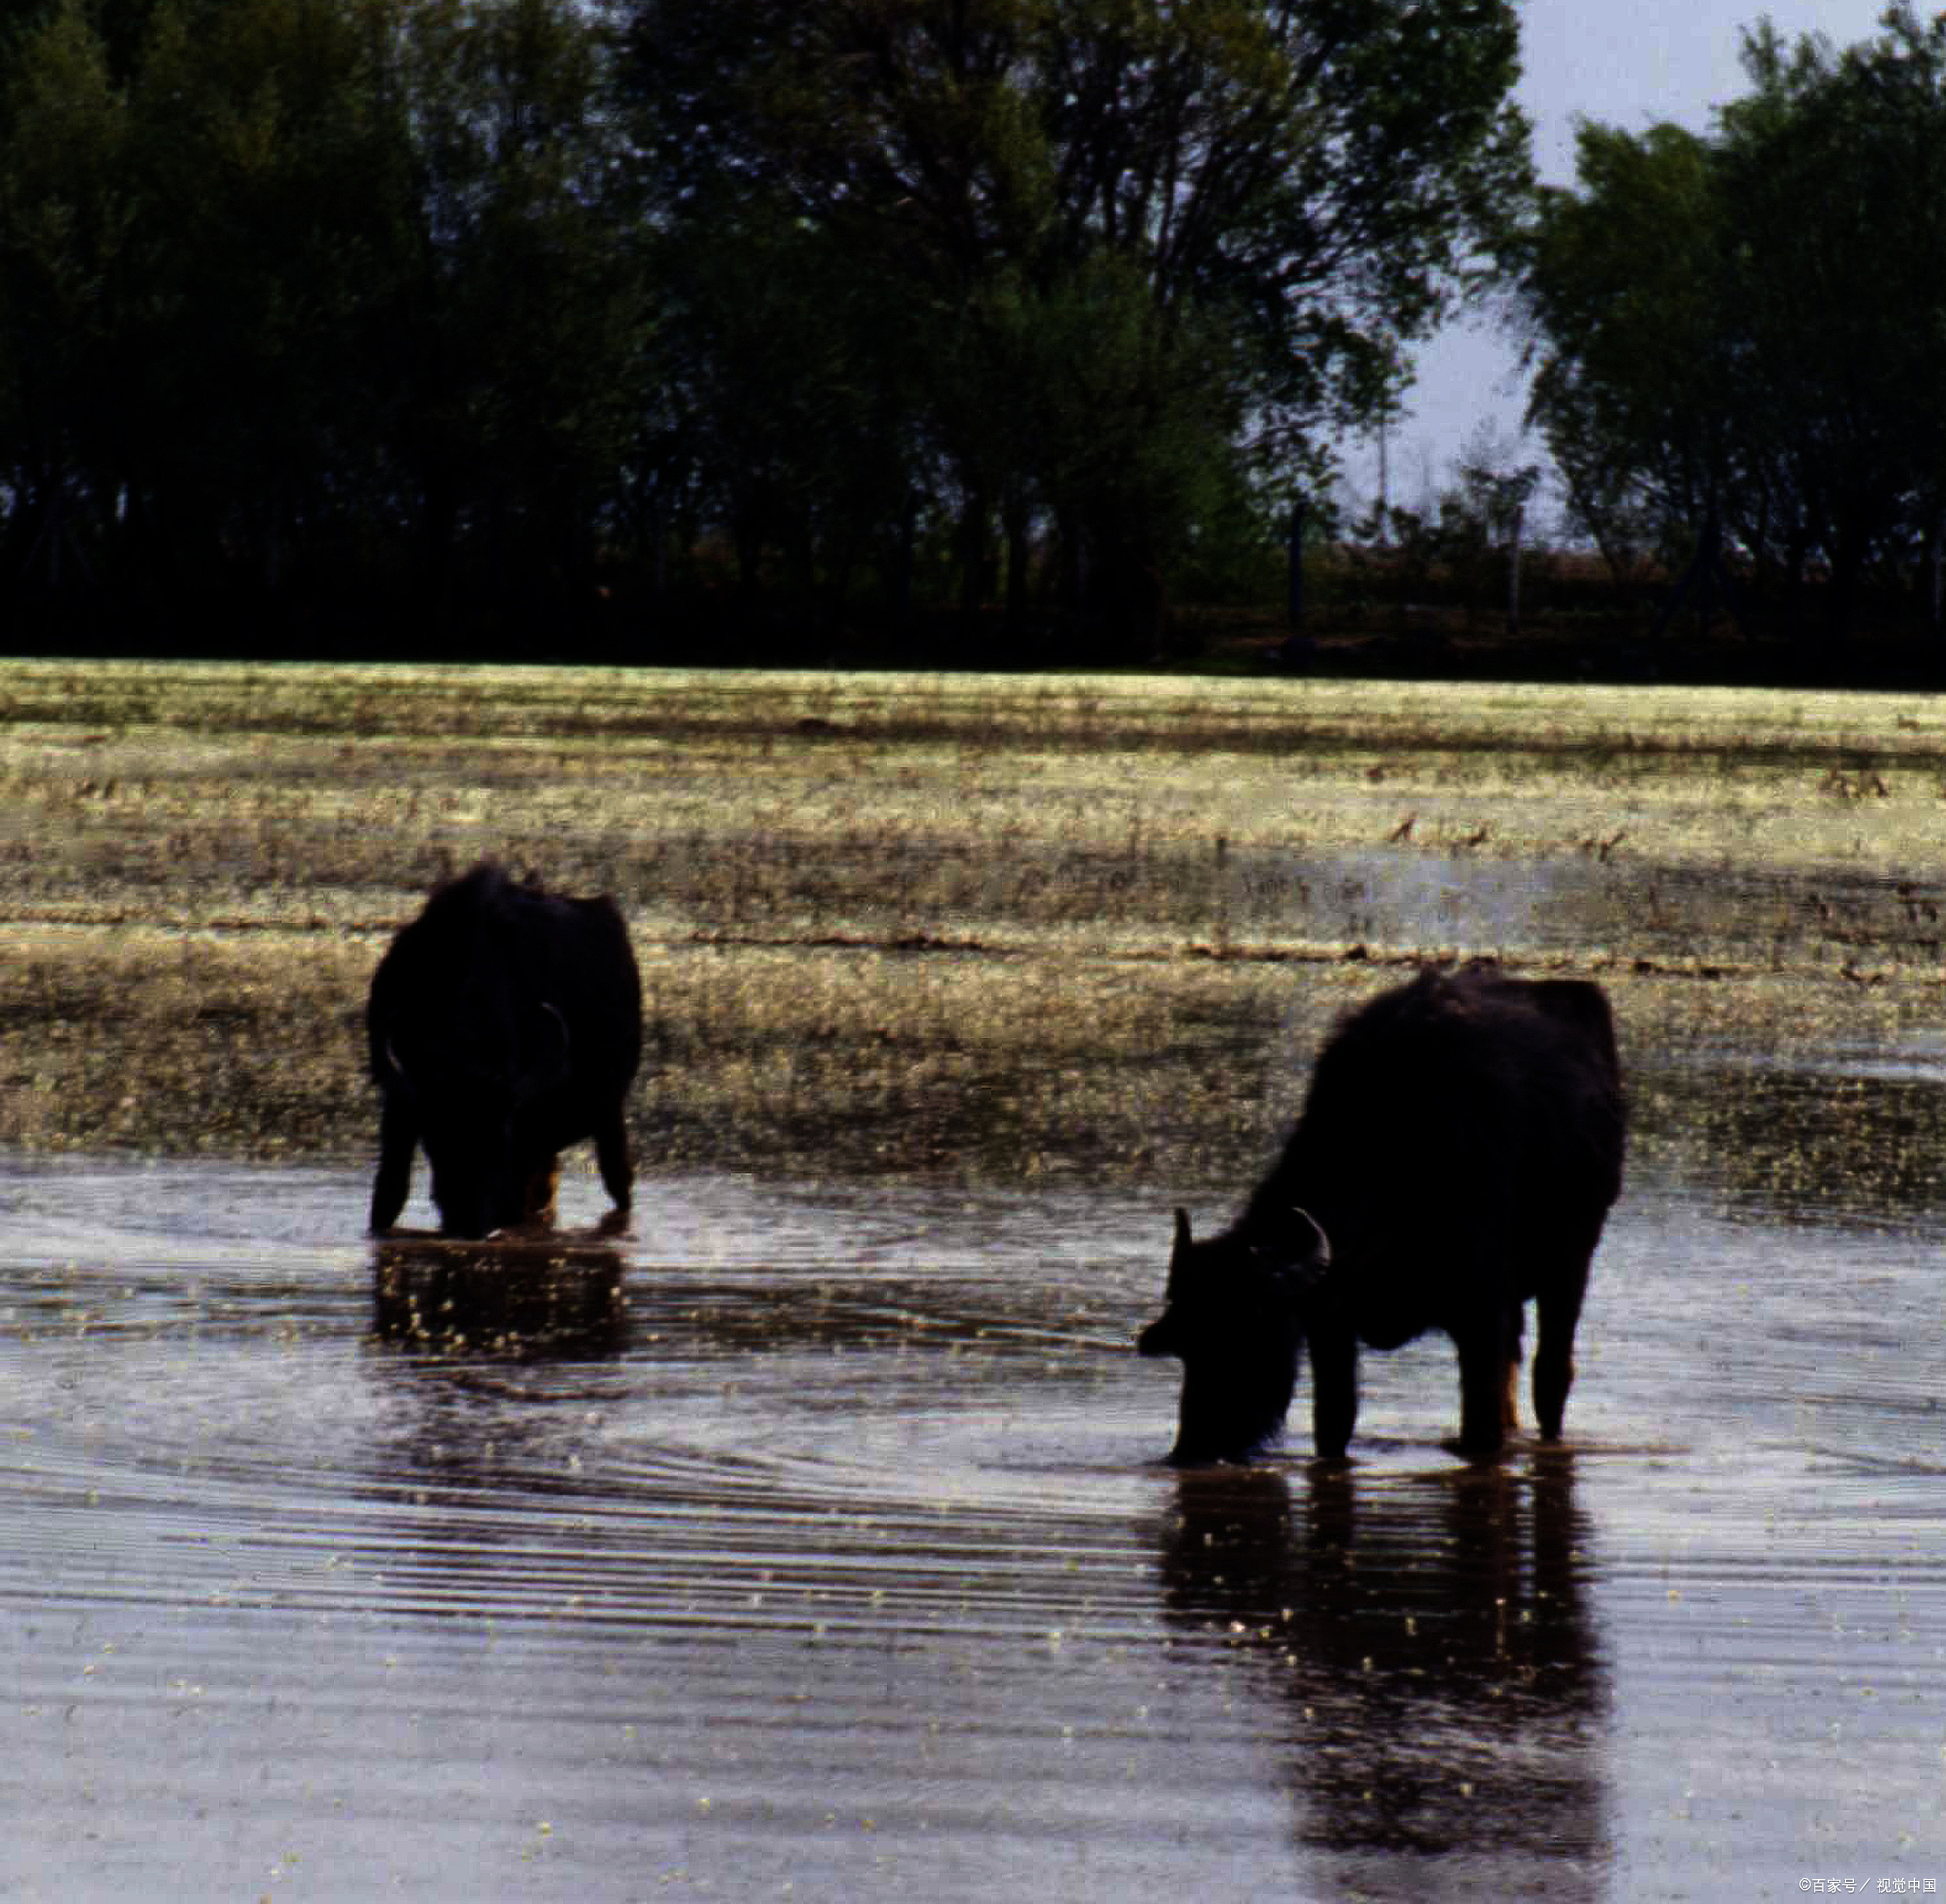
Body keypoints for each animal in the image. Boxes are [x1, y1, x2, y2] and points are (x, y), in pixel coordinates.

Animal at [361, 859, 641, 1236]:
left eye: (502, 1139)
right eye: (435, 1141)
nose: (469, 1222)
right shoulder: (401, 1106)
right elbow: (388, 1197)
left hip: (609, 1116)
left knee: (617, 1183)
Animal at [1136, 976, 1627, 1470]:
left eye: (1246, 1332)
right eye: (1185, 1343)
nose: (1192, 1449)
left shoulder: (1481, 1312)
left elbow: (1480, 1431)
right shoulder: (1330, 1320)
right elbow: (1334, 1423)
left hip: (1572, 1258)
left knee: (1551, 1375)